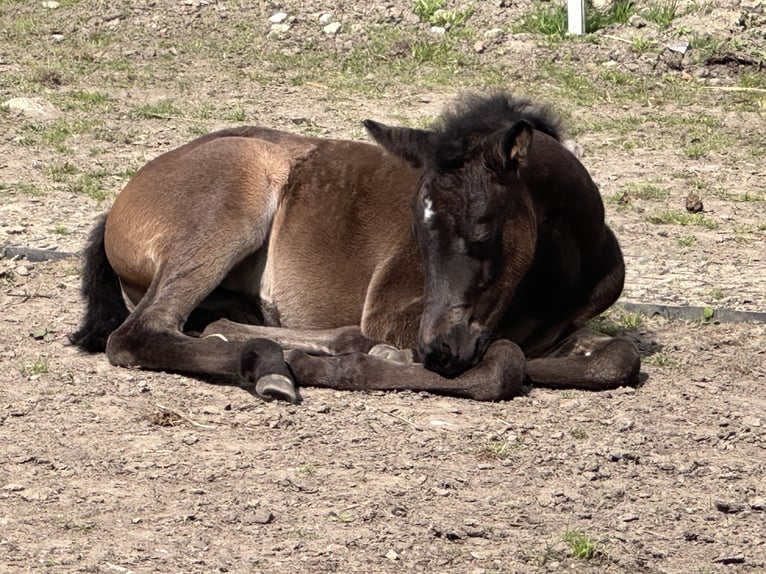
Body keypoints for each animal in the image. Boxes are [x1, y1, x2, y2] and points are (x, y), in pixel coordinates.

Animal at [70, 92, 641, 403]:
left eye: (482, 234)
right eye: (416, 232)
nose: (437, 351)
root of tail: (119, 204)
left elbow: (617, 356)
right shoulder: (396, 311)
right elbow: (505, 361)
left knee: (213, 322)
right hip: (229, 204)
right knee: (140, 333)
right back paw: (273, 366)